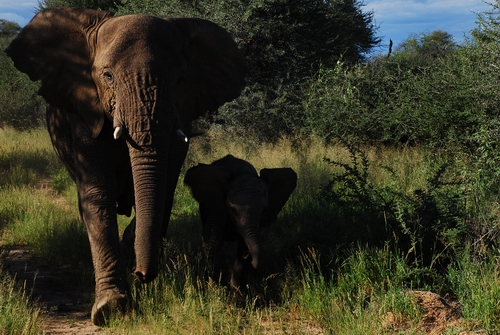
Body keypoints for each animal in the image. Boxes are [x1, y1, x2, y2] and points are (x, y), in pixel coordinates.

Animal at [3, 7, 246, 326]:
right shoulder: (86, 114)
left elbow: (163, 195)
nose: (143, 275)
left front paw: (133, 264)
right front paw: (111, 308)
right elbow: (97, 197)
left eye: (181, 78)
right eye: (107, 76)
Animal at [184, 155, 296, 294]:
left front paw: (238, 294)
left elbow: (243, 245)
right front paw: (218, 289)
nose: (248, 254)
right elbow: (211, 240)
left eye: (264, 210)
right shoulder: (217, 207)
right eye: (232, 209)